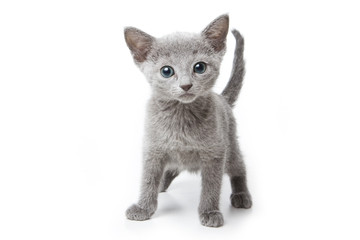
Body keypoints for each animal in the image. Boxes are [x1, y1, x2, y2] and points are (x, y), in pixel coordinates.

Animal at [123, 14, 250, 228]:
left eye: (199, 67)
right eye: (166, 71)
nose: (186, 85)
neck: (180, 116)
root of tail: (222, 98)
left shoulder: (215, 153)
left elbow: (211, 185)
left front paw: (210, 212)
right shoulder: (153, 149)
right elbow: (148, 179)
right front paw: (143, 207)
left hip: (230, 145)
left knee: (239, 167)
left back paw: (241, 195)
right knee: (170, 170)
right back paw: (161, 185)